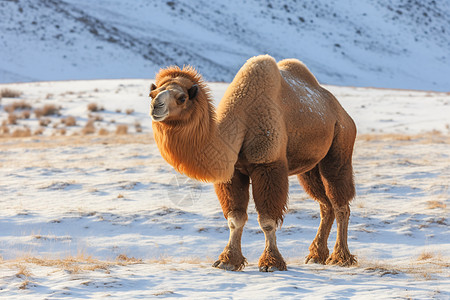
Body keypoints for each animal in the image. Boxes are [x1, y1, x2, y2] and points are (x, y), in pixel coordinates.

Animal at [149, 54, 356, 272]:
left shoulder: (268, 164)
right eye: (151, 93)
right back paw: (316, 256)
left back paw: (341, 258)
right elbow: (235, 219)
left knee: (340, 202)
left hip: (340, 143)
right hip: (309, 167)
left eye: (182, 98)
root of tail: (342, 112)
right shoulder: (233, 172)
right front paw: (228, 260)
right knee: (325, 205)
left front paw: (271, 262)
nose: (156, 107)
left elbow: (267, 220)